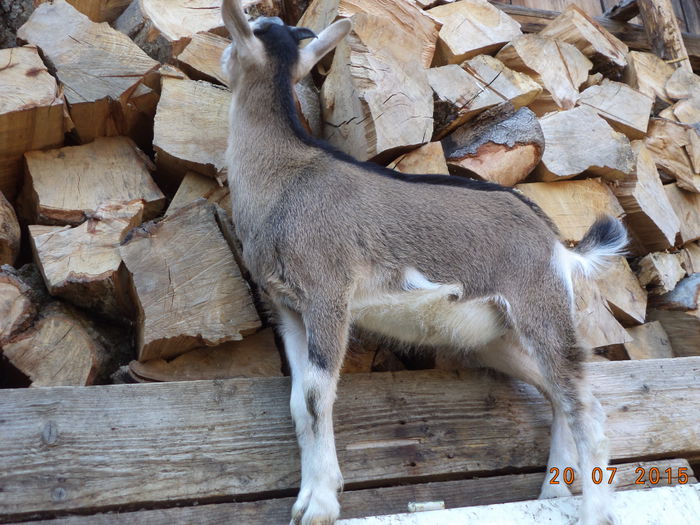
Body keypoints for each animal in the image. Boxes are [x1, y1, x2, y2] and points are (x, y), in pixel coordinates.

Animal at [220, 2, 624, 520]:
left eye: (244, 35)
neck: (287, 180)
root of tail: (560, 246)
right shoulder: (289, 308)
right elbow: (298, 402)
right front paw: (307, 497)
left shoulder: (329, 294)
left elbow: (316, 395)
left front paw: (321, 504)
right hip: (494, 338)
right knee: (560, 393)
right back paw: (552, 491)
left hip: (541, 308)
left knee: (582, 404)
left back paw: (592, 510)